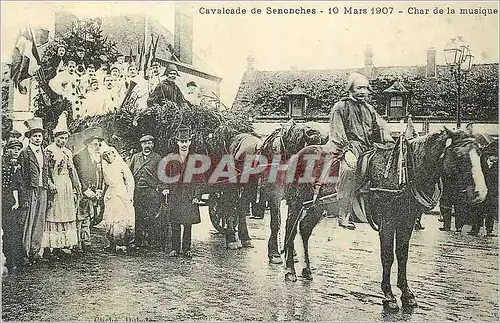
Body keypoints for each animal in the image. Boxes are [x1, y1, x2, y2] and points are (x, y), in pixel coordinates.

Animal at [258, 120, 328, 264]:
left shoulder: (296, 197)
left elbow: (292, 224)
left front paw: (290, 250)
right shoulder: (274, 194)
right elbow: (276, 221)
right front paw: (274, 252)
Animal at [284, 128, 486, 312]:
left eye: (479, 154)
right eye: (459, 155)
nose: (481, 193)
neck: (403, 172)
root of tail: (298, 154)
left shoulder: (407, 221)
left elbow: (403, 255)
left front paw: (407, 294)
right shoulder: (387, 221)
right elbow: (387, 256)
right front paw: (389, 295)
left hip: (316, 207)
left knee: (304, 230)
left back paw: (306, 269)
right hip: (296, 203)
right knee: (290, 231)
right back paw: (290, 270)